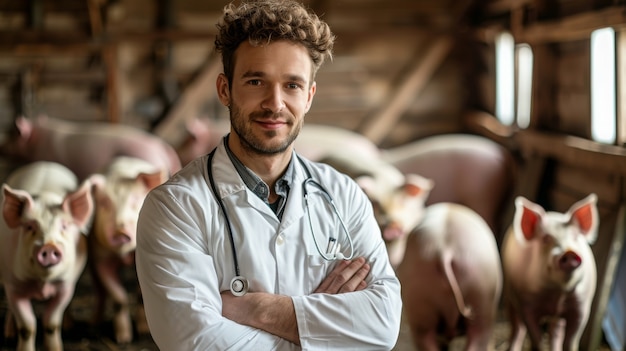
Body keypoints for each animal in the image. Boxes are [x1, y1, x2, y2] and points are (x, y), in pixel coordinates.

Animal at [0, 162, 94, 351]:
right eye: (29, 227)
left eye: (64, 226)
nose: (49, 246)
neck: (42, 283)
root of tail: (44, 164)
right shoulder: (14, 286)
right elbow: (27, 327)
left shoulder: (65, 286)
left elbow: (51, 323)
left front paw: (56, 348)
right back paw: (9, 334)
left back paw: (69, 325)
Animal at [88, 156, 167, 344]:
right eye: (105, 203)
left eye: (135, 200)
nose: (120, 230)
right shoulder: (101, 257)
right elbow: (120, 298)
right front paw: (123, 339)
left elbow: (140, 295)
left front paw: (144, 333)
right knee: (99, 291)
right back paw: (94, 322)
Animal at [500, 195, 596, 351]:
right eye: (546, 239)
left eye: (575, 237)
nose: (569, 252)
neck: (558, 292)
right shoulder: (527, 305)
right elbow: (536, 339)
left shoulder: (582, 307)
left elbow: (571, 341)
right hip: (509, 295)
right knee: (517, 327)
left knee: (556, 332)